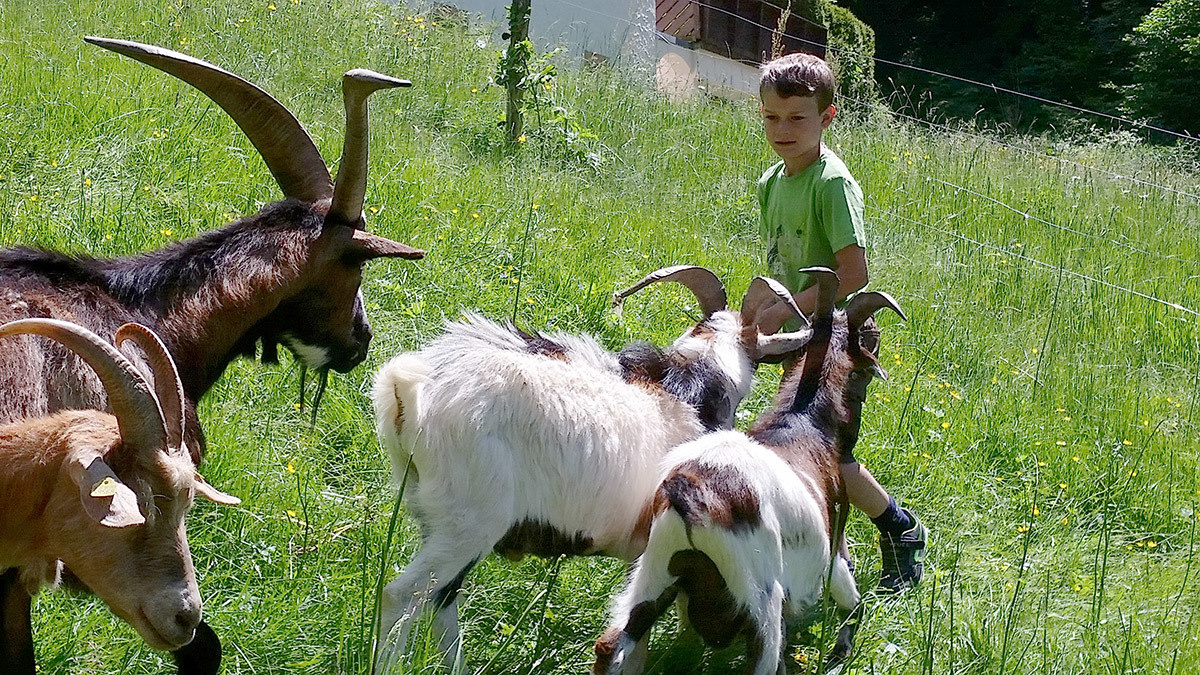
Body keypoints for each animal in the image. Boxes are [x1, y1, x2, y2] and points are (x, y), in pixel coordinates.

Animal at [370, 265, 816, 669]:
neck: (692, 386)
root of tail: (412, 389)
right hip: (469, 521)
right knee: (403, 596)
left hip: (436, 516)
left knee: (443, 596)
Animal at [593, 268, 904, 675]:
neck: (801, 422)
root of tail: (690, 496)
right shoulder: (833, 552)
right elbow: (853, 607)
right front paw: (839, 655)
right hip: (761, 597)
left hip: (654, 572)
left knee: (610, 643)